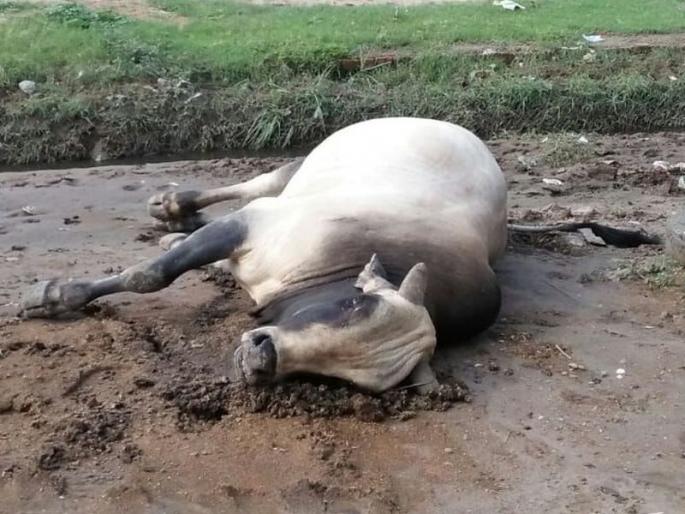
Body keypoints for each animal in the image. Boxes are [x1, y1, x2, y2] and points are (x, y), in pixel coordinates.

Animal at [20, 118, 659, 393]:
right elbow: (150, 277)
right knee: (252, 184)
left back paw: (175, 226)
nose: (261, 359)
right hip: (299, 169)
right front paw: (56, 296)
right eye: (352, 305)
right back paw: (173, 204)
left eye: (345, 378)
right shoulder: (258, 226)